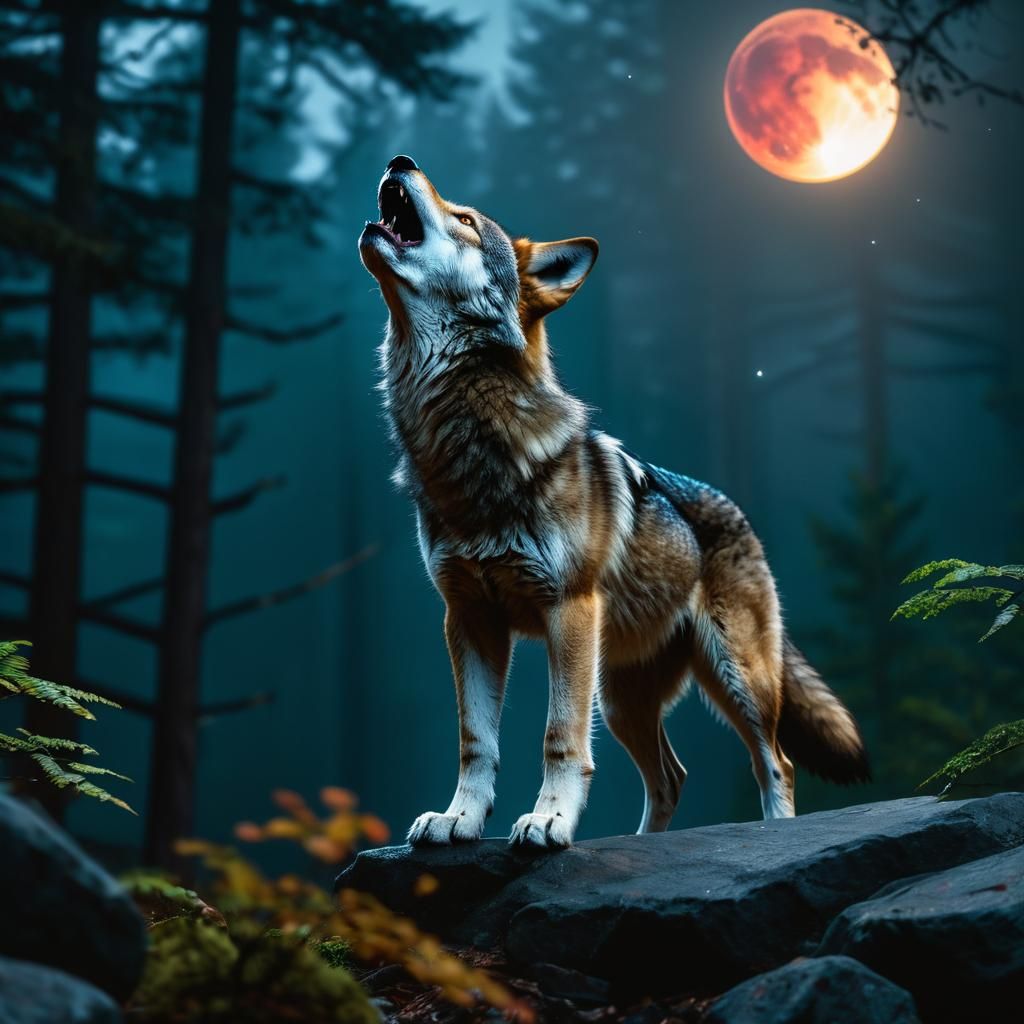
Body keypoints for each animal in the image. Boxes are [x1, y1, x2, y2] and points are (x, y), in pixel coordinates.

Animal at [359, 154, 869, 849]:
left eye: (465, 219)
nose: (400, 160)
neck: (470, 445)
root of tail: (731, 507)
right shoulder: (467, 618)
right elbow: (476, 741)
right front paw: (458, 818)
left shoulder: (567, 610)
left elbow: (560, 738)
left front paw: (547, 821)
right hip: (622, 696)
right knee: (672, 776)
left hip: (731, 678)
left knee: (777, 762)